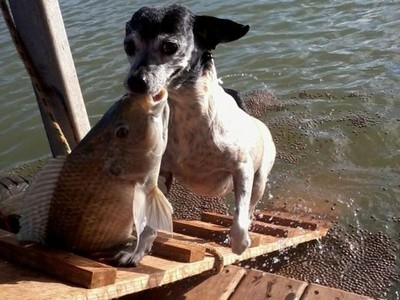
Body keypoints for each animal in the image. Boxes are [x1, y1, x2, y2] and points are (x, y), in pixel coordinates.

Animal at [119, 3, 276, 266]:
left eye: (170, 46)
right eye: (128, 46)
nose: (135, 81)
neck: (186, 117)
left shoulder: (242, 169)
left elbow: (239, 218)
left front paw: (239, 242)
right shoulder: (160, 175)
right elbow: (149, 224)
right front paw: (137, 251)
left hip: (259, 179)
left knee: (250, 206)